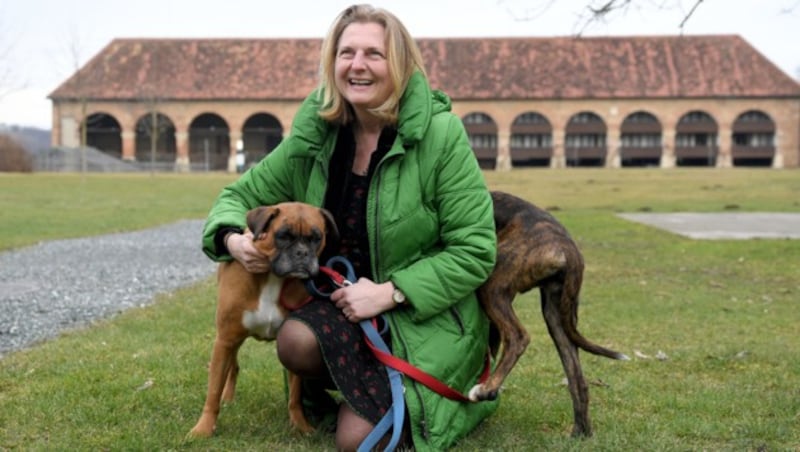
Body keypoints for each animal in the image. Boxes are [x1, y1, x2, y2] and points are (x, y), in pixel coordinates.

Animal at [189, 202, 336, 438]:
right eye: (283, 235)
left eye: (316, 238)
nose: (302, 253)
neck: (273, 278)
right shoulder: (225, 340)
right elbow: (213, 391)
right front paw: (203, 428)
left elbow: (295, 395)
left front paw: (300, 425)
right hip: (229, 343)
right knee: (232, 368)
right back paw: (227, 399)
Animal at [472, 191, 628, 438]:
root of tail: (567, 247)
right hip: (556, 313)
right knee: (577, 378)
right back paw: (580, 433)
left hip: (492, 286)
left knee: (518, 337)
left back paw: (486, 390)